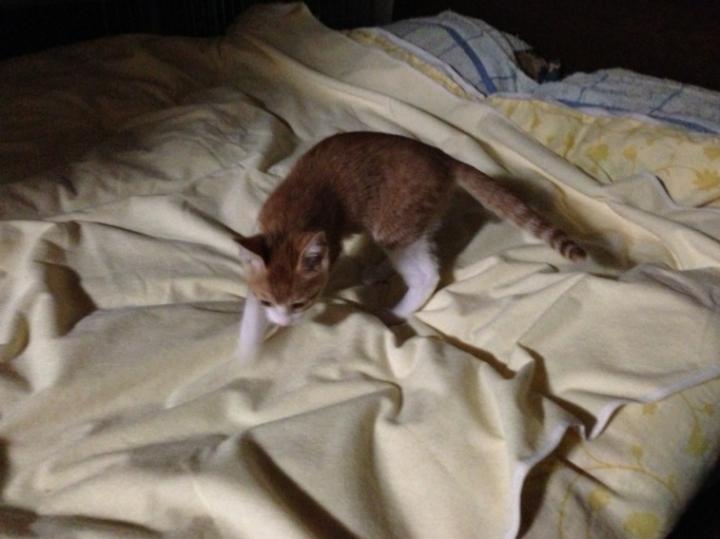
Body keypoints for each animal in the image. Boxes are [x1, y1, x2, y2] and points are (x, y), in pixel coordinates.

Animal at [235, 132, 585, 361]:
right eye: (268, 302)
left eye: (300, 303)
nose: (282, 322)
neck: (290, 220)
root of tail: (442, 157)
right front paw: (251, 337)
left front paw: (248, 352)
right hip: (415, 224)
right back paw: (378, 271)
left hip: (395, 224)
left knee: (426, 275)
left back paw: (396, 311)